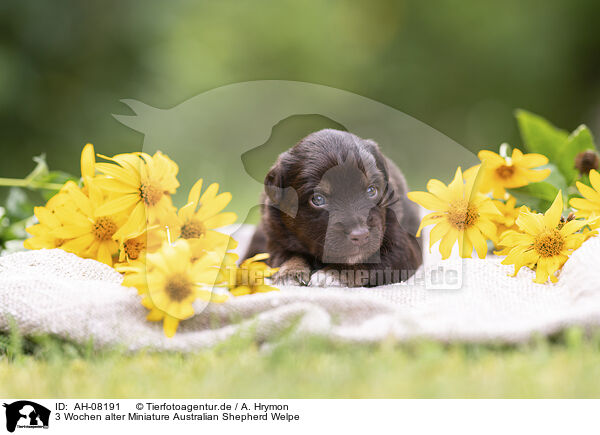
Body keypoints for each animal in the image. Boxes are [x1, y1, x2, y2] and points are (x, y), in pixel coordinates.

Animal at [244, 127, 422, 288]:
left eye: (372, 190)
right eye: (318, 199)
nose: (360, 235)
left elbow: (370, 260)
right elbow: (288, 256)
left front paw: (331, 274)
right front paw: (289, 273)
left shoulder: (402, 248)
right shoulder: (277, 238)